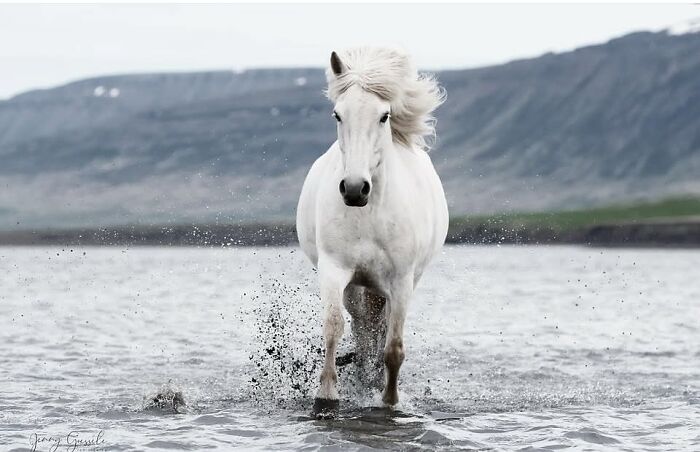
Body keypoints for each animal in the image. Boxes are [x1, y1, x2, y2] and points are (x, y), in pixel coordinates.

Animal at [296, 47, 448, 415]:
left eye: (384, 116)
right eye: (337, 114)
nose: (354, 189)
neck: (368, 216)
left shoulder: (401, 281)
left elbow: (393, 347)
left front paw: (389, 400)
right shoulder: (334, 270)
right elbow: (333, 327)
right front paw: (326, 397)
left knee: (379, 333)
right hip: (358, 286)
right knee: (363, 329)